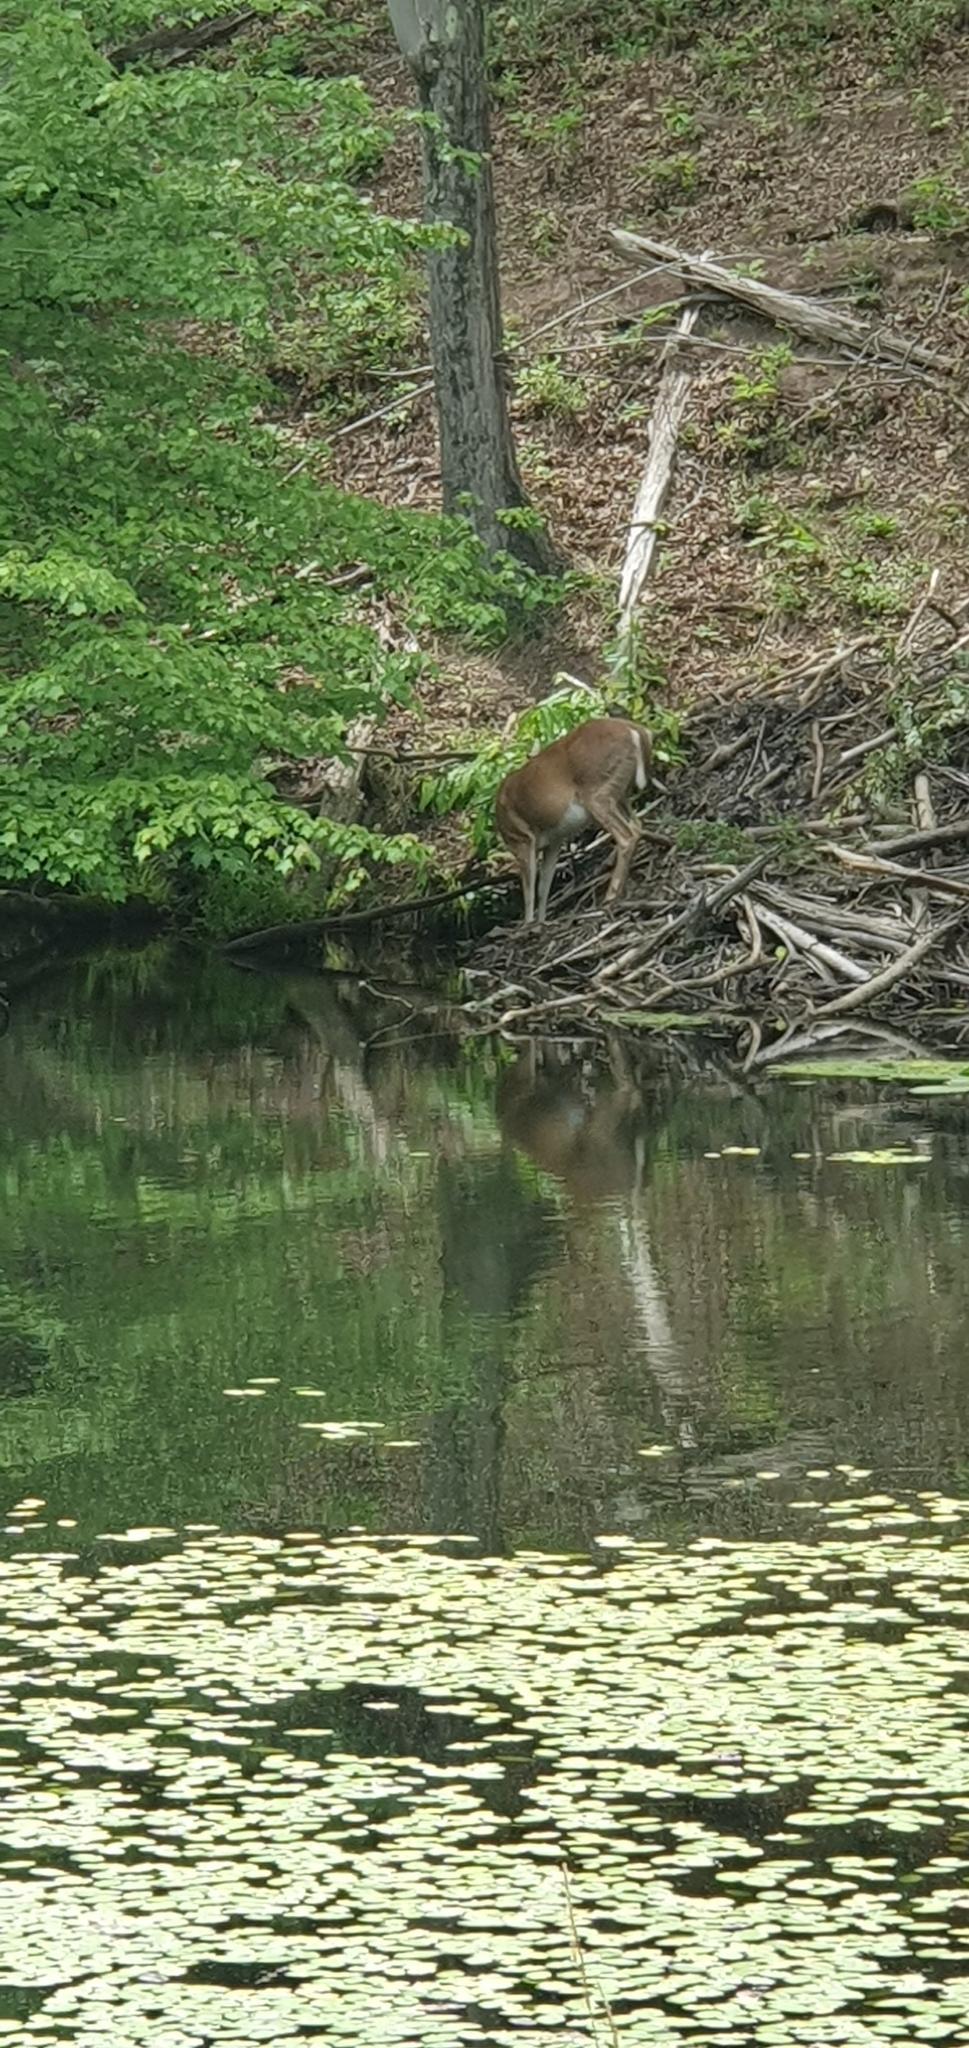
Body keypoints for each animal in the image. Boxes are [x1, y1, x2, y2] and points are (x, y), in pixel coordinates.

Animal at [495, 716, 652, 926]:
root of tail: (635, 730)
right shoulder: (554, 841)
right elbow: (544, 885)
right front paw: (541, 922)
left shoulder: (522, 839)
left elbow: (529, 889)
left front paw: (527, 925)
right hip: (620, 793)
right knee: (637, 825)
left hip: (597, 792)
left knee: (626, 836)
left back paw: (609, 898)